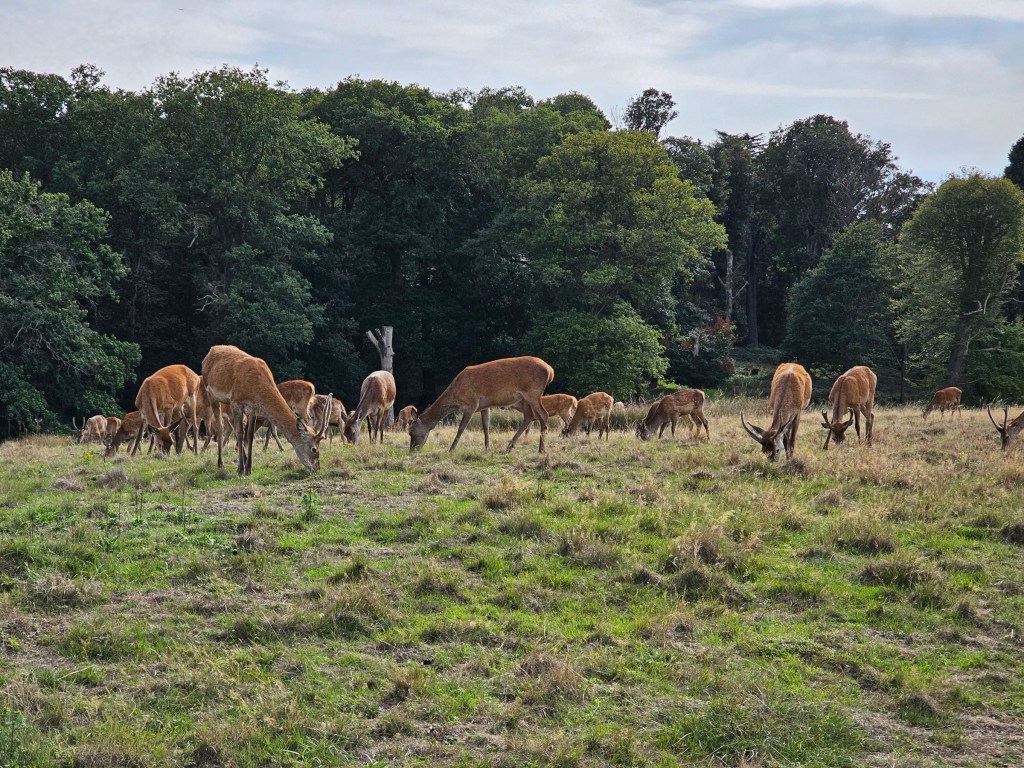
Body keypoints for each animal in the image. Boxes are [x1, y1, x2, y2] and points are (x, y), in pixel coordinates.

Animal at [201, 344, 332, 475]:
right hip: (212, 395)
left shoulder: (253, 408)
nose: (317, 468)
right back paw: (220, 463)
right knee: (220, 426)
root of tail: (210, 352)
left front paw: (249, 468)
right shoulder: (237, 402)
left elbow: (250, 434)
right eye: (314, 449)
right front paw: (241, 469)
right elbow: (240, 433)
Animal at [409, 356, 554, 453]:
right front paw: (486, 448)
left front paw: (451, 449)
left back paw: (541, 449)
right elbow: (485, 426)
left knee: (543, 415)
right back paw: (509, 446)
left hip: (532, 393)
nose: (412, 450)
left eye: (410, 432)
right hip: (526, 398)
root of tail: (550, 370)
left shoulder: (471, 404)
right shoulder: (484, 406)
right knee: (529, 416)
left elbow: (461, 427)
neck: (456, 394)